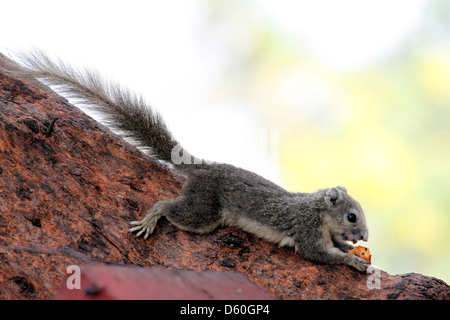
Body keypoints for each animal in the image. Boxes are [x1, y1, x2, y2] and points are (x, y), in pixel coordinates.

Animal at [9, 50, 370, 272]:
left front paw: (351, 250)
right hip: (204, 212)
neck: (318, 211)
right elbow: (318, 254)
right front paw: (353, 261)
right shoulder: (307, 231)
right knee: (169, 207)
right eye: (352, 216)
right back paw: (151, 219)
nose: (365, 237)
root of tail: (204, 168)